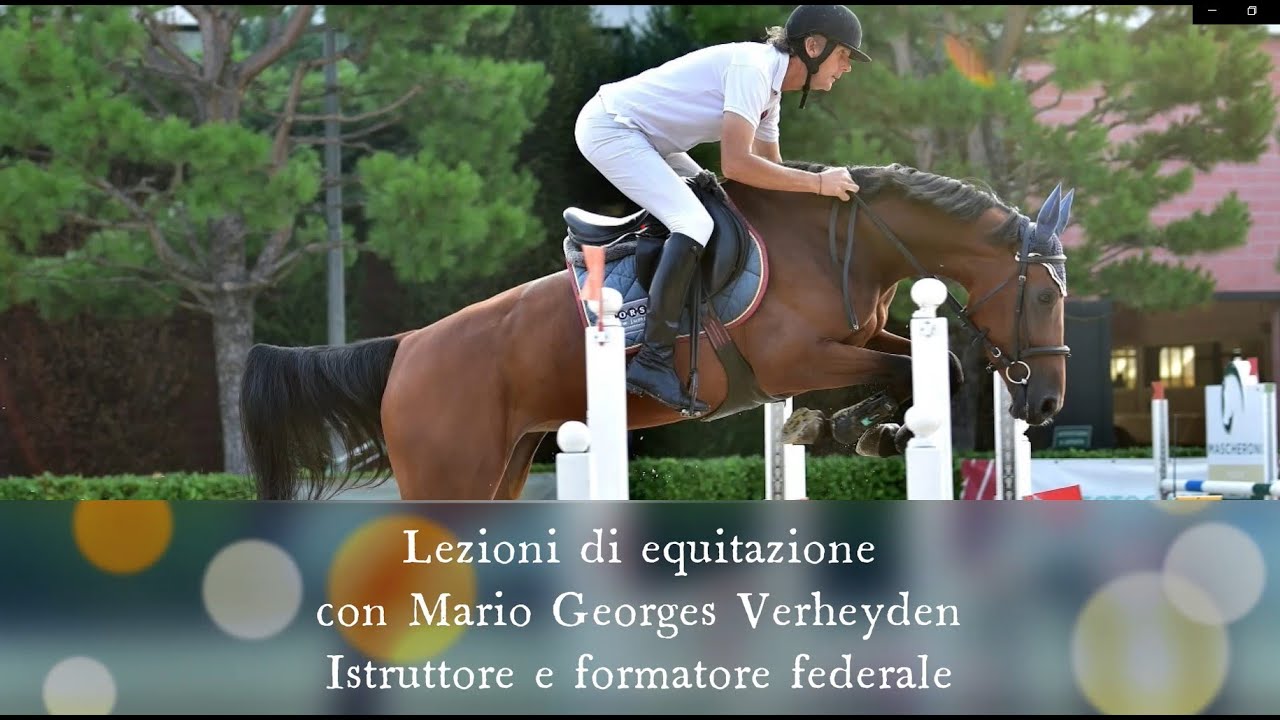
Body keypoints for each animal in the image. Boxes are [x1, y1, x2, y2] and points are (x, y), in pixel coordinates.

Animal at [239, 160, 1074, 501]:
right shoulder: (797, 358)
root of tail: (407, 348)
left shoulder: (857, 341)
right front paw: (851, 426)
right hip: (451, 473)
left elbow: (932, 370)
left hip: (503, 469)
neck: (845, 241)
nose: (1045, 406)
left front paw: (855, 427)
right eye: (1041, 297)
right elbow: (902, 374)